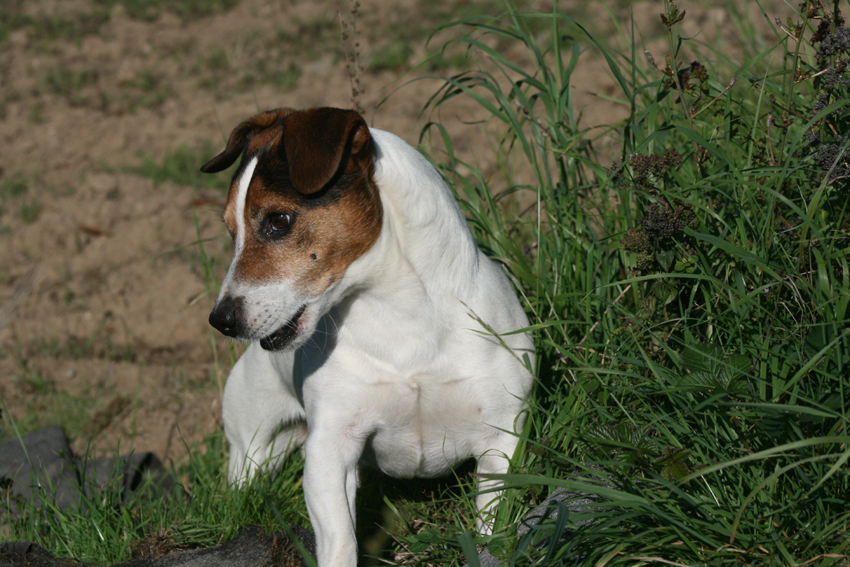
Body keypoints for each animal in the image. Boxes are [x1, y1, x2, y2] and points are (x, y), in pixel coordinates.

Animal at [200, 107, 528, 567]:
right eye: (231, 231)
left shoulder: (502, 440)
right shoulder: (329, 452)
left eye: (279, 220)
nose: (221, 320)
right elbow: (340, 542)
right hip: (252, 445)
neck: (400, 317)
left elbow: (493, 527)